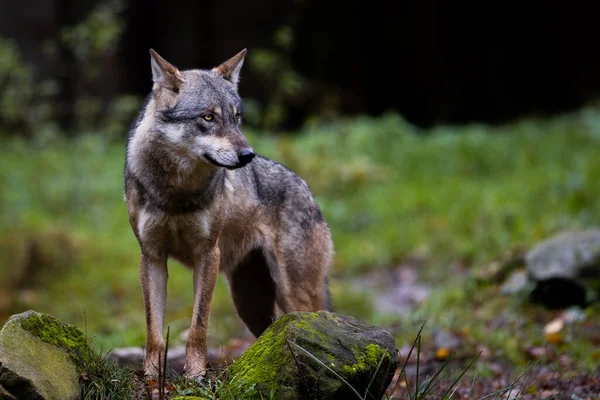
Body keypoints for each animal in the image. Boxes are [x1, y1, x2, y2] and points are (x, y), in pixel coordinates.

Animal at [123, 48, 336, 380]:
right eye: (208, 117)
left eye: (237, 118)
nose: (247, 155)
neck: (176, 192)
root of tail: (307, 190)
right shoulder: (152, 257)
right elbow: (153, 332)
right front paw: (152, 378)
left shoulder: (208, 254)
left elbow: (198, 327)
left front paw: (195, 376)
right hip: (250, 304)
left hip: (295, 295)